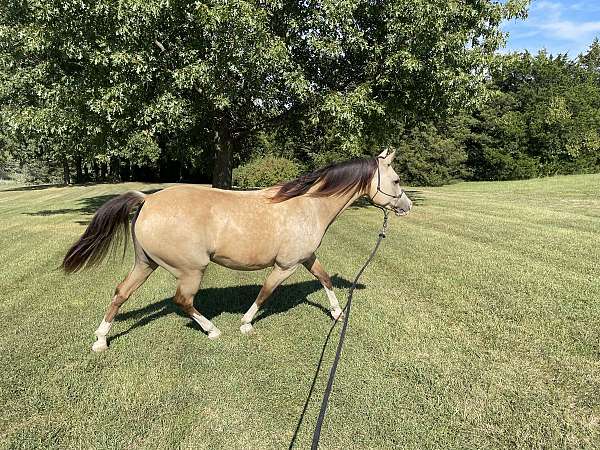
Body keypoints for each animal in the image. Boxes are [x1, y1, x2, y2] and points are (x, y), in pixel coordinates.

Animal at [64, 151, 412, 352]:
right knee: (183, 301)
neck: (308, 205)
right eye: (396, 180)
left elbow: (324, 279)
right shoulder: (285, 265)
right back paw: (212, 330)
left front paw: (338, 313)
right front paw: (245, 324)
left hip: (145, 263)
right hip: (191, 270)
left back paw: (101, 339)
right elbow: (265, 293)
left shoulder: (306, 258)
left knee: (121, 293)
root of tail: (147, 199)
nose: (406, 206)